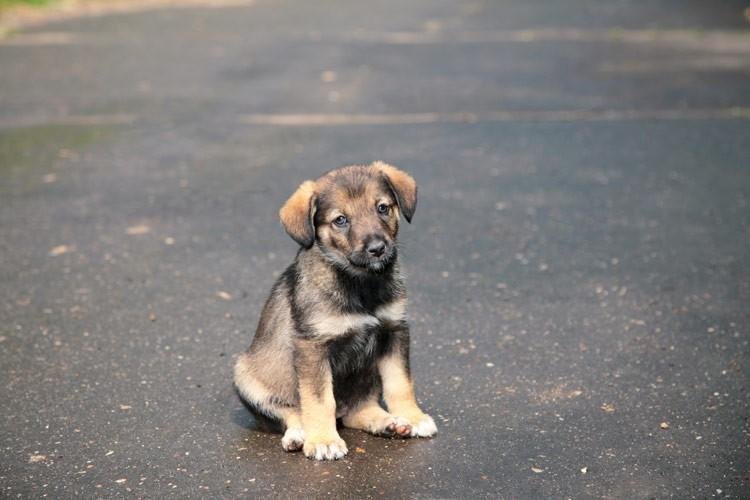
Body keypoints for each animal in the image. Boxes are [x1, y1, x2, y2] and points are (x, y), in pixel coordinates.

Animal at [232, 161, 438, 460]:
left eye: (382, 208)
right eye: (340, 220)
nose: (378, 249)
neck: (361, 284)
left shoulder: (394, 330)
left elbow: (400, 382)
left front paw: (413, 417)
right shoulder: (313, 346)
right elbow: (319, 400)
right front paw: (323, 440)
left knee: (358, 408)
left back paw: (388, 421)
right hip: (245, 376)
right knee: (291, 413)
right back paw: (299, 435)